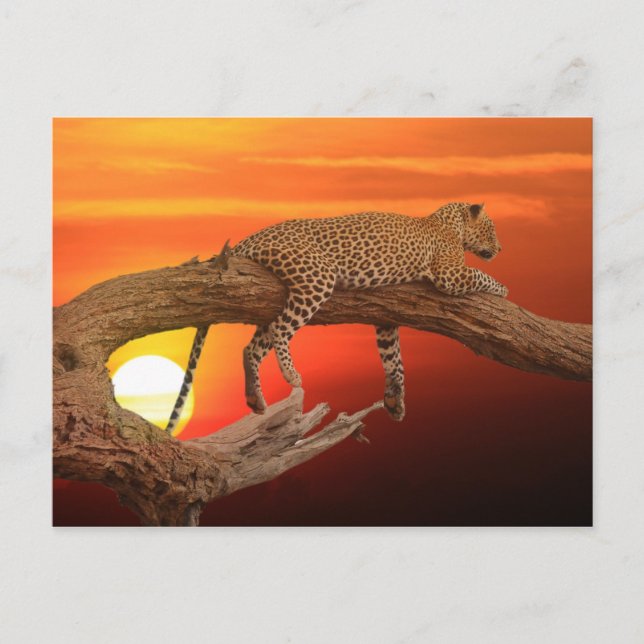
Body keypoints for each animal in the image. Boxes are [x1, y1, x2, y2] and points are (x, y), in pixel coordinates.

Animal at [165, 202, 507, 435]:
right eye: (491, 229)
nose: (500, 248)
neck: (449, 224)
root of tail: (251, 237)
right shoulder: (450, 274)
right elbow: (480, 275)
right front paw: (503, 289)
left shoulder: (386, 319)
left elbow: (394, 359)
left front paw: (395, 401)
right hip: (317, 277)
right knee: (280, 330)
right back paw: (291, 375)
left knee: (253, 346)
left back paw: (255, 398)